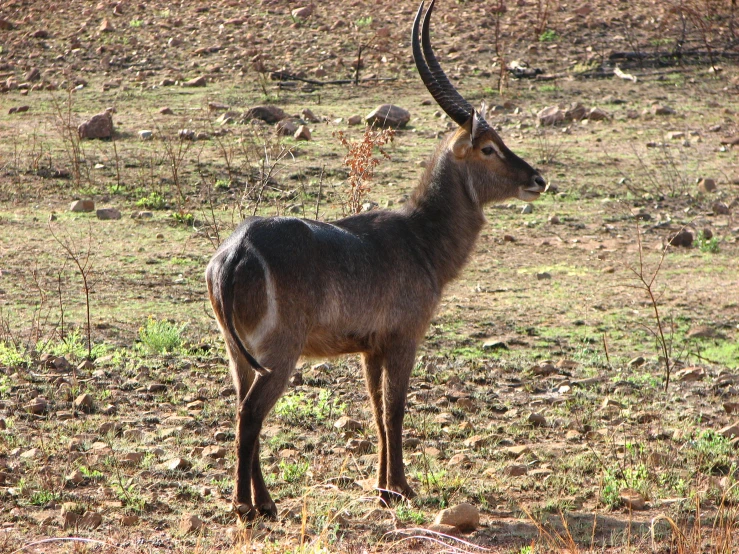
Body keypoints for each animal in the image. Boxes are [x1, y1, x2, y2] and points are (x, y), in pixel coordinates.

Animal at [205, 0, 548, 516]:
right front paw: (400, 488)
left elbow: (374, 409)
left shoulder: (370, 347)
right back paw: (248, 507)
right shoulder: (405, 337)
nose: (537, 178)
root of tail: (238, 249)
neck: (420, 237)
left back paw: (262, 501)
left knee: (243, 408)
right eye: (489, 147)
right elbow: (395, 409)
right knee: (250, 414)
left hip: (239, 352)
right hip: (279, 352)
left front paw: (383, 488)